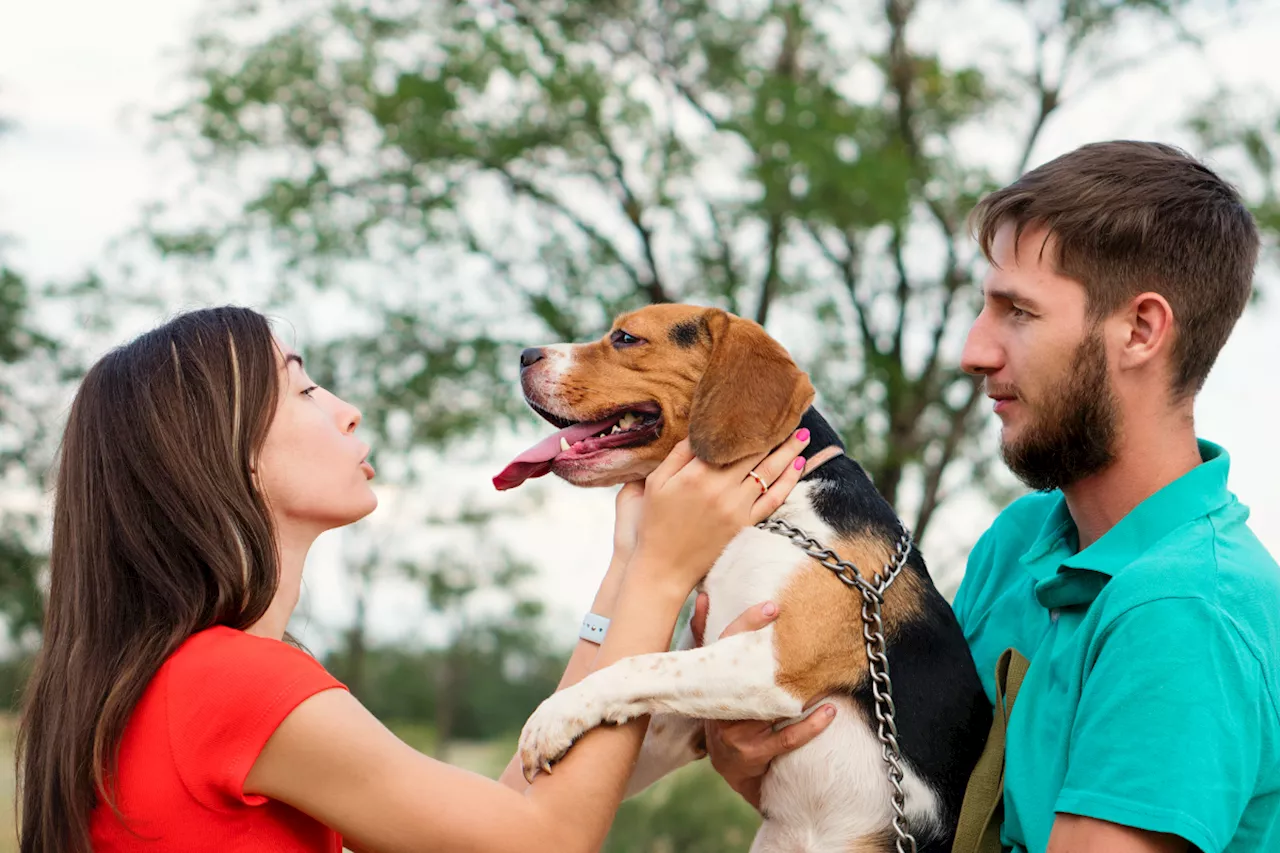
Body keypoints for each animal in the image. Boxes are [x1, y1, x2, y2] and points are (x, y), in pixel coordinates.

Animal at [491, 306, 988, 850]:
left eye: (625, 337)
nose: (523, 355)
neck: (772, 514)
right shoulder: (677, 723)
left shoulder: (772, 660)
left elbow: (637, 664)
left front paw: (553, 715)